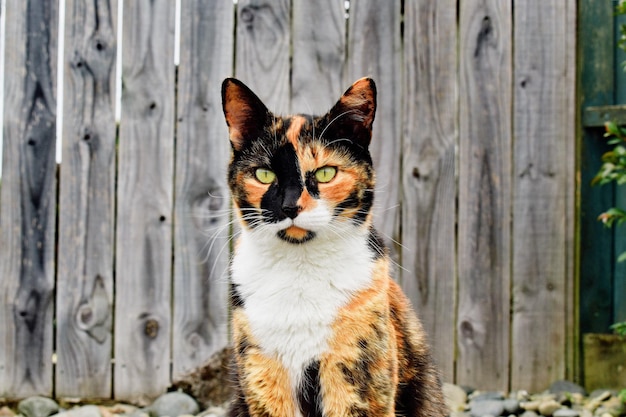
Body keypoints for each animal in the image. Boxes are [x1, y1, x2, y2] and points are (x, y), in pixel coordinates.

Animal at [219, 77, 444, 416]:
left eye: (325, 173)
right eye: (264, 174)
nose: (289, 206)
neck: (299, 271)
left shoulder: (357, 364)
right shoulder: (262, 370)